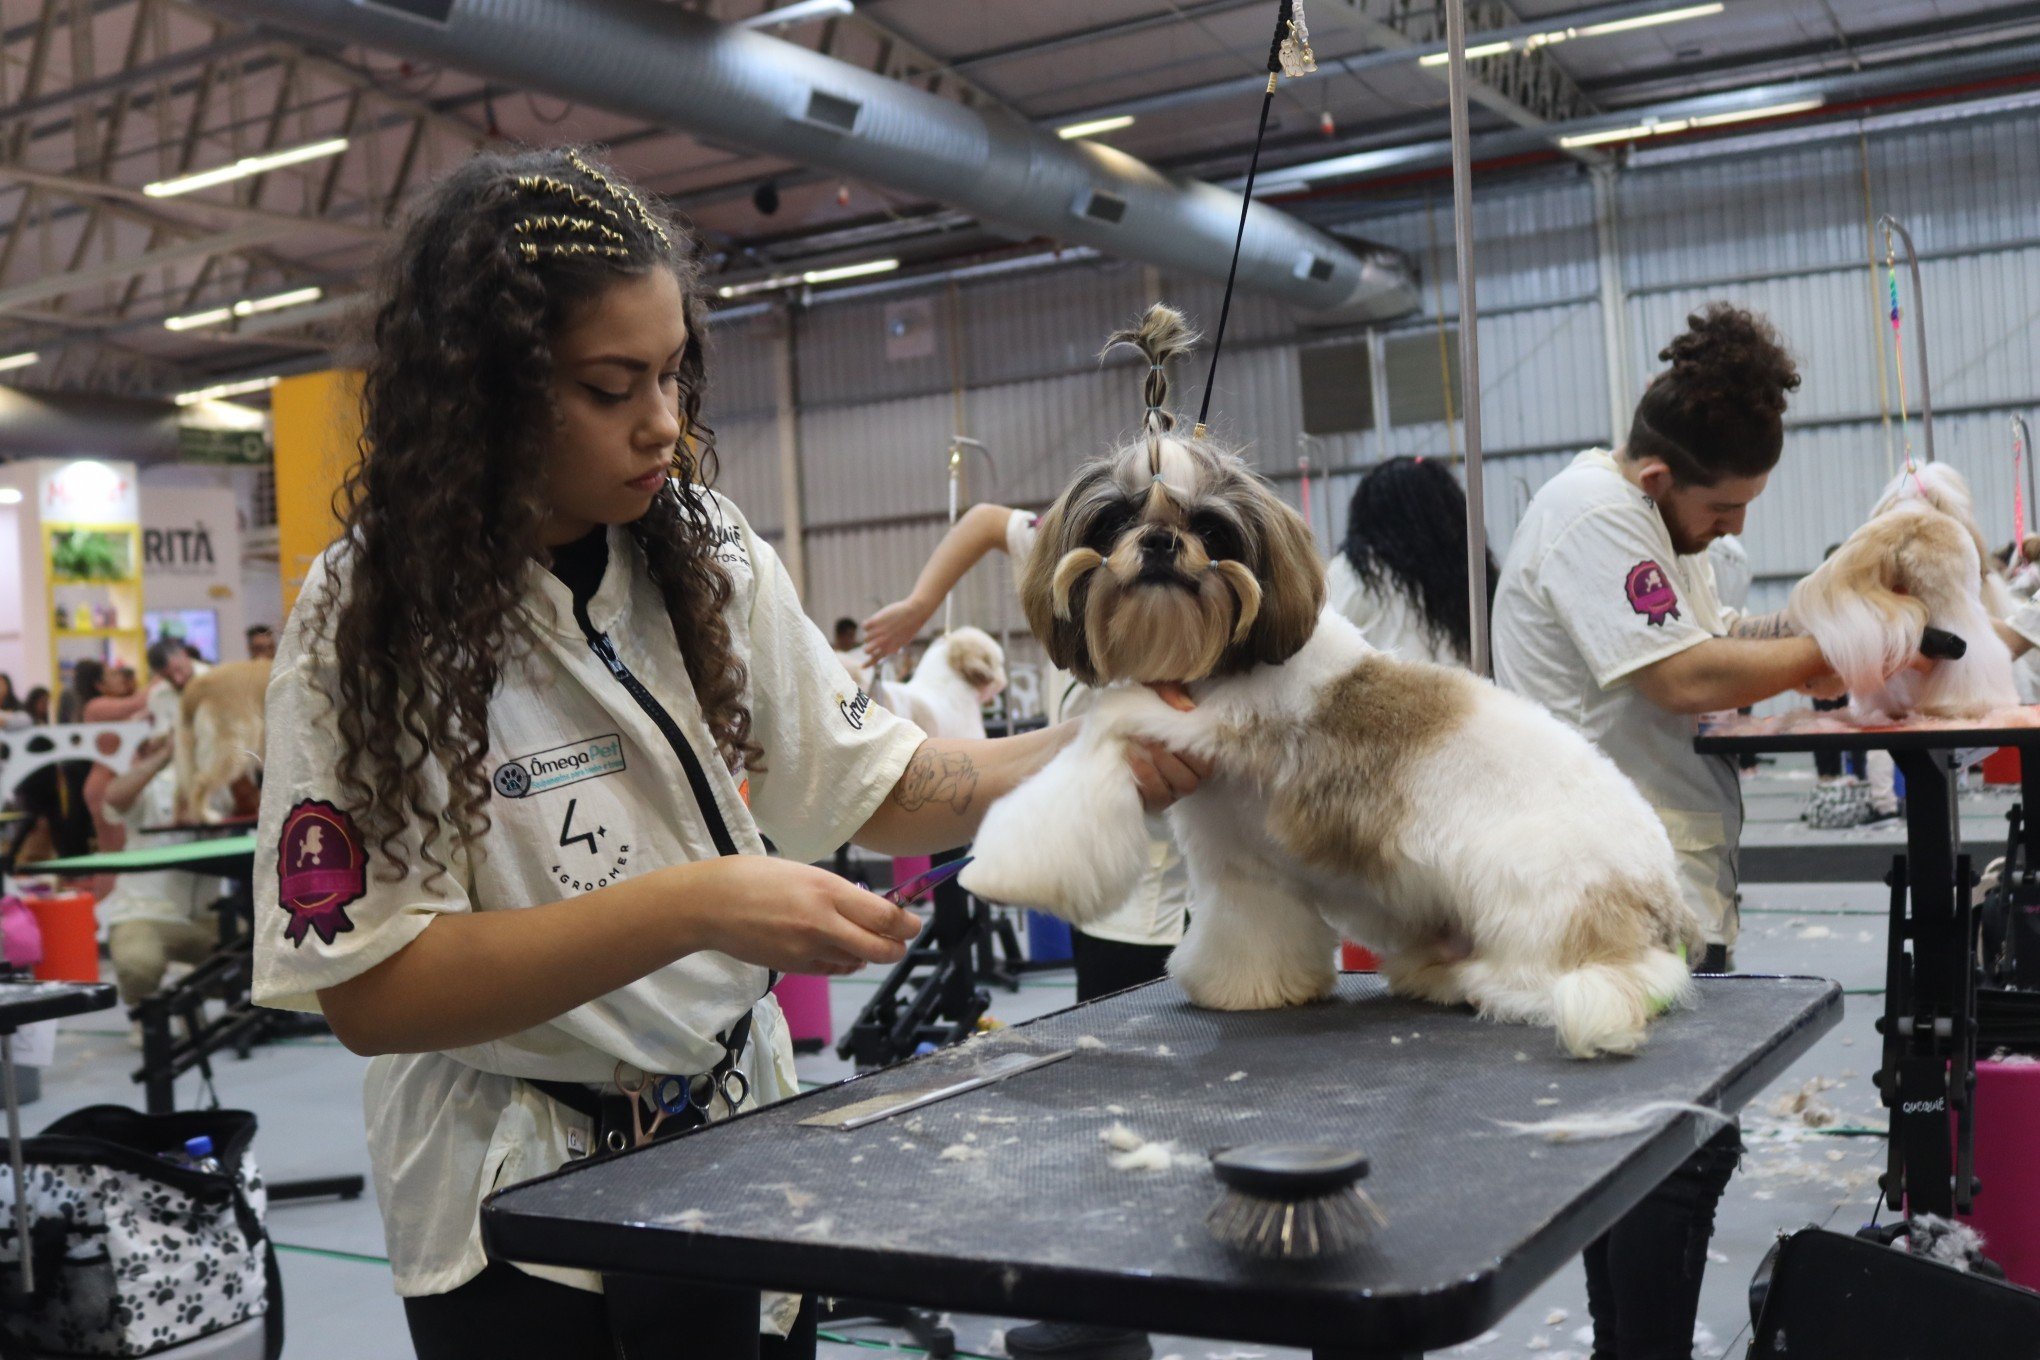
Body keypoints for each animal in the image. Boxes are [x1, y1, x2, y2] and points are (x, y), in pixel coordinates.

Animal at [962, 307, 1697, 1060]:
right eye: (1115, 518)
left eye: (1211, 528)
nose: (1160, 542)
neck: (1216, 667)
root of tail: (1662, 904)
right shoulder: (1240, 865)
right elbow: (1249, 928)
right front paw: (1244, 987)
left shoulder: (1217, 725)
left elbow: (1107, 719)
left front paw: (1005, 865)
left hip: (1529, 891)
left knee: (1566, 977)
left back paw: (1484, 983)